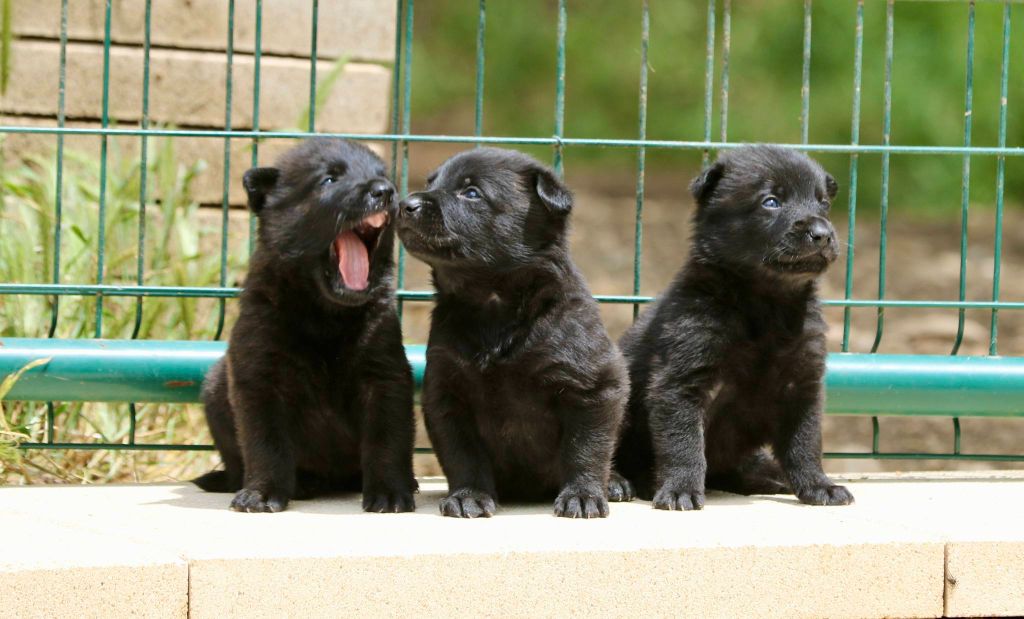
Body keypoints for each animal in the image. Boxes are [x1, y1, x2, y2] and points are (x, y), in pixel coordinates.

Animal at [192, 139, 415, 512]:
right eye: (329, 179)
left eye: (382, 175)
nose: (385, 191)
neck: (326, 316)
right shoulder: (260, 378)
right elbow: (266, 443)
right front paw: (262, 493)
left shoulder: (384, 376)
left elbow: (386, 438)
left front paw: (389, 493)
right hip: (214, 391)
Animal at [399, 148, 630, 516]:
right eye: (432, 183)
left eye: (471, 193)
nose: (405, 204)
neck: (493, 307)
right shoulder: (446, 392)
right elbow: (462, 453)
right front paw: (468, 495)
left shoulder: (593, 386)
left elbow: (585, 448)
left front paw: (582, 495)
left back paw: (616, 482)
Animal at [614, 143, 856, 508]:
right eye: (771, 201)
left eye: (823, 203)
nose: (823, 234)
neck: (766, 306)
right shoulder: (682, 380)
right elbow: (684, 442)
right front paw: (680, 489)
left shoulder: (802, 384)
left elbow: (805, 443)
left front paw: (818, 486)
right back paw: (618, 482)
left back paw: (765, 476)